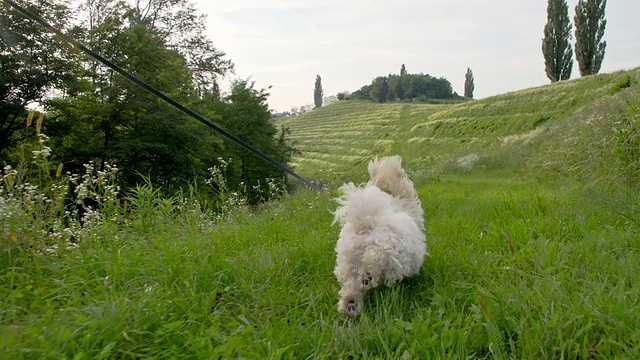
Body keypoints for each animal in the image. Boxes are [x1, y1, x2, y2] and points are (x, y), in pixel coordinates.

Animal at [332, 155, 428, 318]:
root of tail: (365, 223)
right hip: (384, 251)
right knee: (373, 263)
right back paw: (366, 277)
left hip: (347, 263)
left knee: (350, 285)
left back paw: (350, 304)